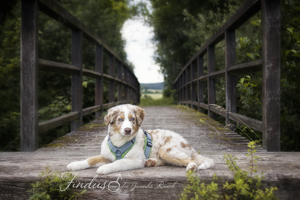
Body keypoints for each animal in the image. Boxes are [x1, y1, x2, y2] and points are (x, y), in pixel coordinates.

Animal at [67, 104, 214, 174]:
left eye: (132, 119)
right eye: (120, 120)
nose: (127, 130)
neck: (120, 142)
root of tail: (189, 145)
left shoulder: (135, 160)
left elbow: (118, 163)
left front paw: (105, 168)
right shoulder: (106, 155)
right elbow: (90, 159)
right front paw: (74, 164)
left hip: (167, 150)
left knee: (192, 160)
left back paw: (191, 167)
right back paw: (151, 162)